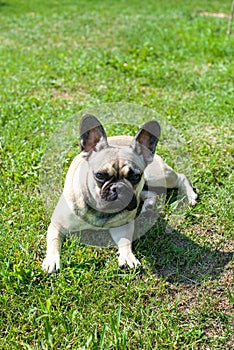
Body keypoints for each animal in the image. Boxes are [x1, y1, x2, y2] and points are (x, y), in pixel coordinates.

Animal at [42, 115, 197, 274]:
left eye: (135, 176)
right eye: (99, 175)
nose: (119, 188)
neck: (100, 212)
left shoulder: (122, 227)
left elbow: (125, 241)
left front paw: (128, 257)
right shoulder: (57, 225)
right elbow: (54, 241)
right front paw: (52, 260)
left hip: (158, 176)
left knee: (180, 177)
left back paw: (189, 196)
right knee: (150, 193)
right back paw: (148, 207)